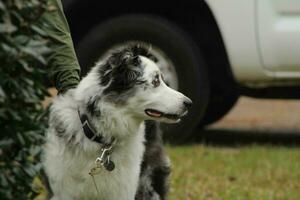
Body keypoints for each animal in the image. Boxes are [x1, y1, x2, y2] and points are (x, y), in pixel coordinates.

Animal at [42, 44, 192, 199]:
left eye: (162, 79)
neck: (101, 138)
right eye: (155, 81)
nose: (189, 103)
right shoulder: (61, 190)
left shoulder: (123, 190)